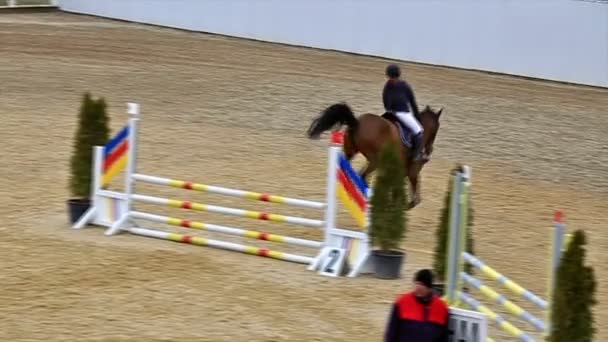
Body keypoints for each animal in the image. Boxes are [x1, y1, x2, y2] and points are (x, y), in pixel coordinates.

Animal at [306, 101, 444, 208]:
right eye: (437, 128)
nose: (429, 150)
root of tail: (357, 122)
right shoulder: (411, 172)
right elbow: (414, 198)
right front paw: (403, 205)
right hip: (375, 160)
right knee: (362, 175)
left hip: (351, 152)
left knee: (349, 170)